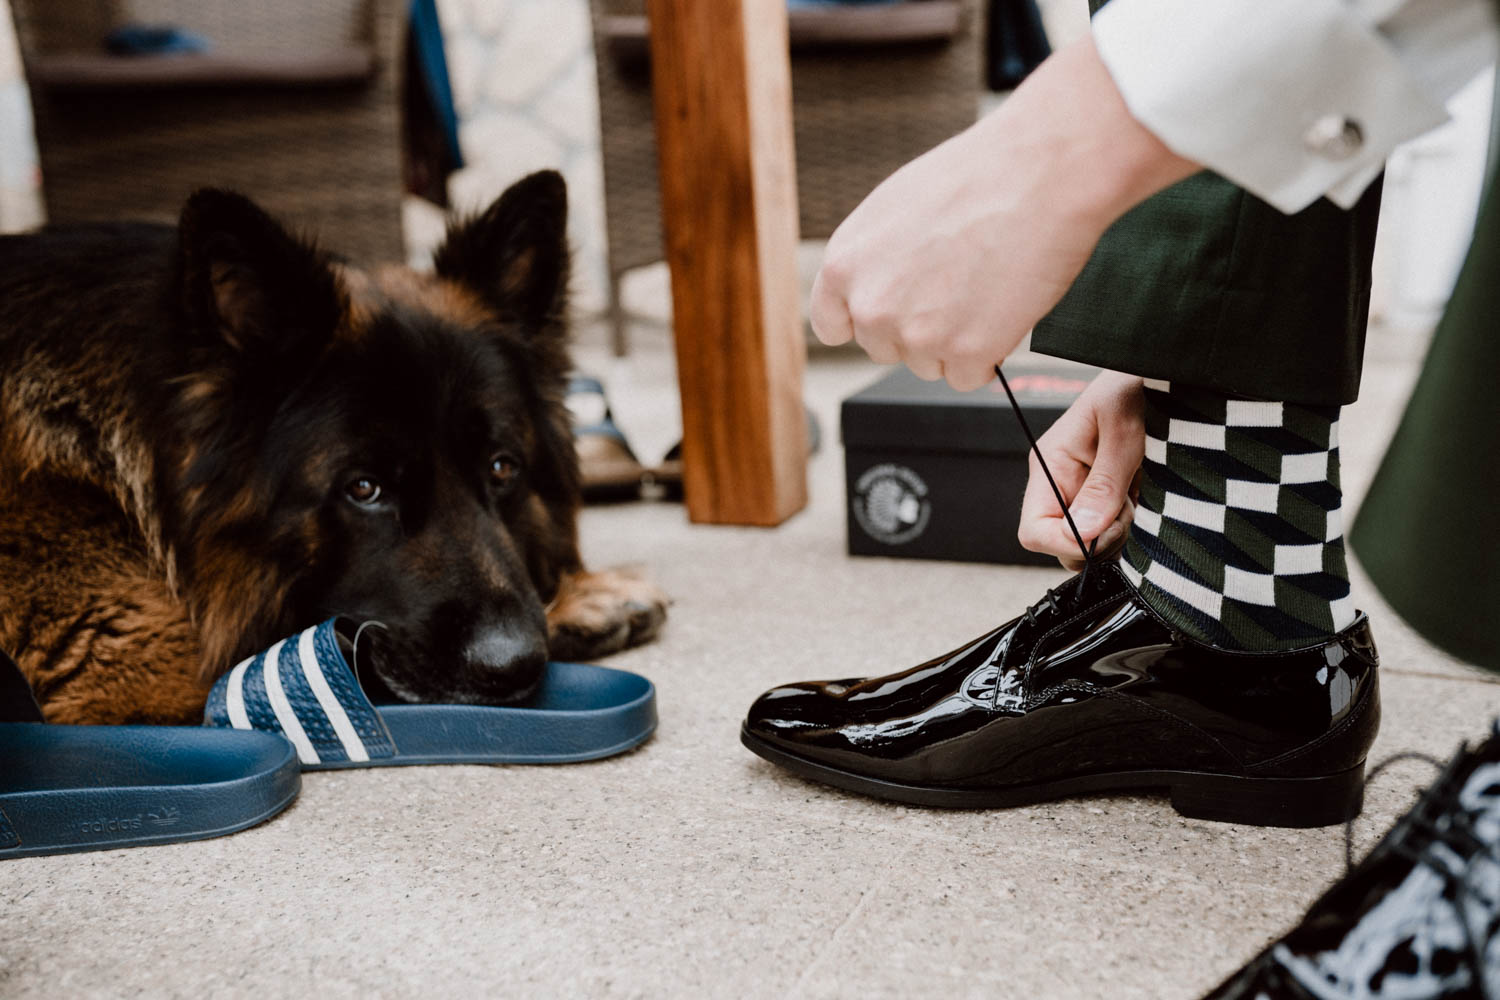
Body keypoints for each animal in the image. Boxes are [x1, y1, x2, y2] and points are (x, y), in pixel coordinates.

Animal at [0, 170, 669, 719]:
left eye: (503, 468)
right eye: (364, 488)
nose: (512, 665)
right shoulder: (130, 667)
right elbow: (317, 650)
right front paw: (584, 601)